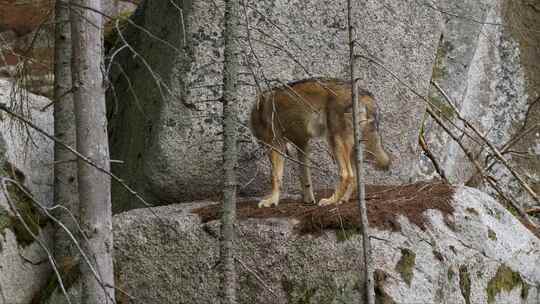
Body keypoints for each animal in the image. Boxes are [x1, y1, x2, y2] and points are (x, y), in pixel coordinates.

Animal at [251, 77, 390, 208]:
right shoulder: (302, 144)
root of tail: (364, 93)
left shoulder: (275, 145)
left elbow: (275, 177)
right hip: (352, 148)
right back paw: (343, 200)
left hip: (335, 142)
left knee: (347, 174)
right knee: (355, 177)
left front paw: (271, 201)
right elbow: (305, 178)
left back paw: (331, 200)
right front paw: (308, 200)